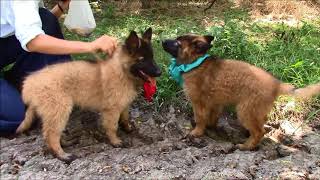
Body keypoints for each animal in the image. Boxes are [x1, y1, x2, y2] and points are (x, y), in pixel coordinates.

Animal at [15, 28, 161, 163]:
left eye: (152, 57)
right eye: (142, 60)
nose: (159, 73)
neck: (123, 71)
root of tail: (29, 83)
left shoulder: (124, 104)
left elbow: (125, 118)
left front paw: (128, 129)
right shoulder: (111, 110)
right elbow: (112, 127)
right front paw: (115, 141)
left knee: (52, 132)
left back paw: (66, 143)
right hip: (60, 110)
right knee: (51, 134)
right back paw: (62, 154)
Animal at [162, 33, 320, 150]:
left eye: (177, 43)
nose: (161, 40)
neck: (195, 63)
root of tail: (277, 84)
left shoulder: (198, 102)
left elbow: (200, 118)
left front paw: (197, 132)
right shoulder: (214, 103)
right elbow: (212, 117)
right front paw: (211, 128)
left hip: (245, 110)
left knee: (259, 132)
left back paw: (246, 146)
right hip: (257, 110)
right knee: (260, 125)